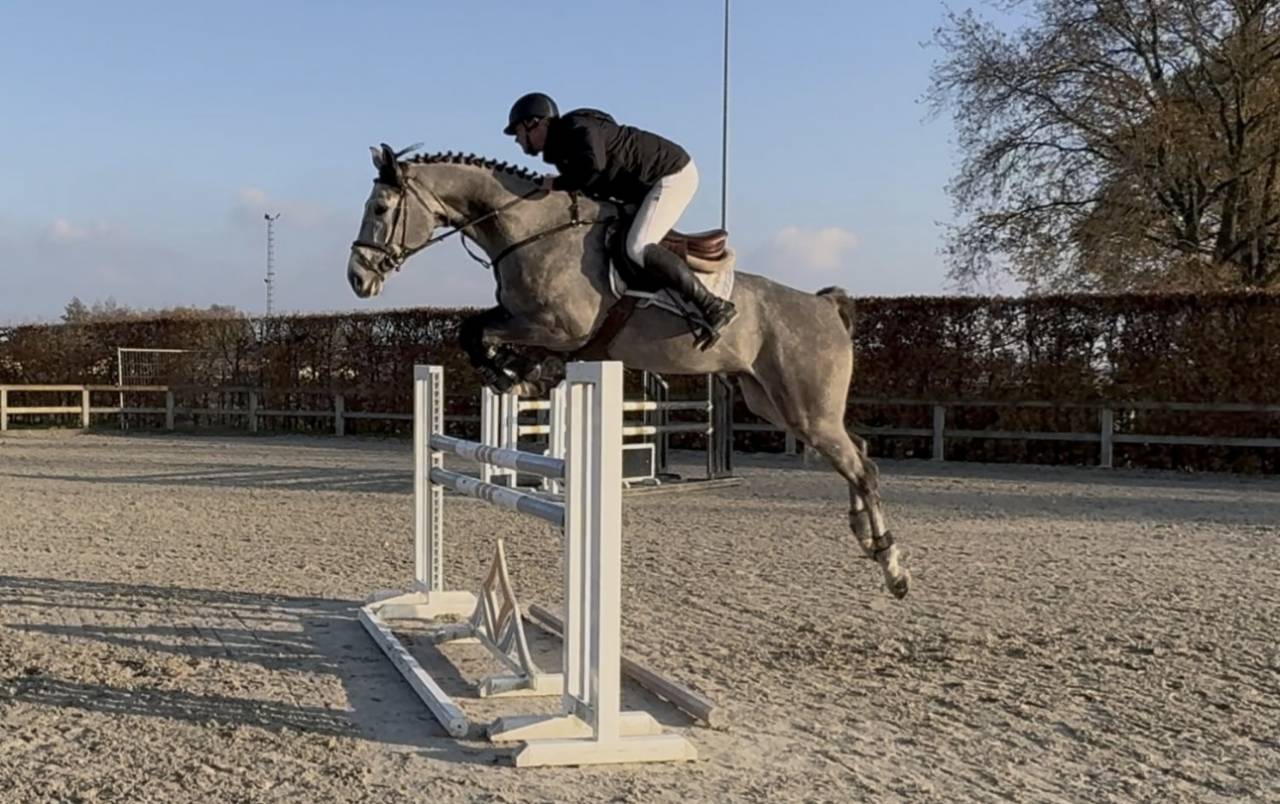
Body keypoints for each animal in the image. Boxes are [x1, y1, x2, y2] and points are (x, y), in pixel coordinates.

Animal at [347, 144, 910, 599]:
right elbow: (476, 328)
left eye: (380, 208)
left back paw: (892, 565)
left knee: (862, 466)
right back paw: (867, 538)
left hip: (805, 407)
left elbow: (479, 335)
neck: (530, 231)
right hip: (774, 404)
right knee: (857, 455)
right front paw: (525, 375)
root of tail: (825, 306)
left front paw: (513, 375)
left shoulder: (559, 327)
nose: (357, 278)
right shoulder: (526, 320)